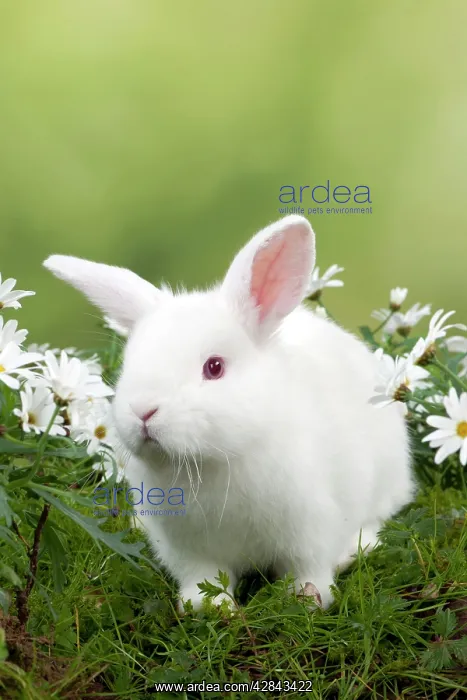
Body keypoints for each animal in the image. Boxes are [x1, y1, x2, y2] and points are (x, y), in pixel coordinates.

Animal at [44, 215, 414, 611]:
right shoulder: (186, 548)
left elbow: (308, 569)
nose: (144, 411)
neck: (215, 461)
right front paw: (209, 607)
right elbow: (203, 578)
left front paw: (306, 598)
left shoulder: (312, 528)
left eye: (215, 367)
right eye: (128, 365)